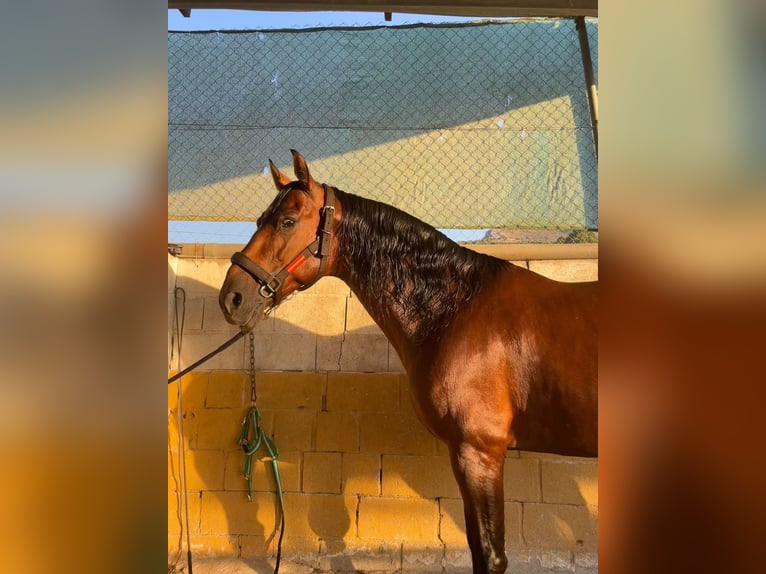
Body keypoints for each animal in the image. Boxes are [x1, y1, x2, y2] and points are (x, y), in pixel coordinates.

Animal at [219, 151, 596, 572]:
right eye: (258, 220)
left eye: (286, 221)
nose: (232, 298)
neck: (457, 308)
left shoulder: (478, 452)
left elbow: (489, 553)